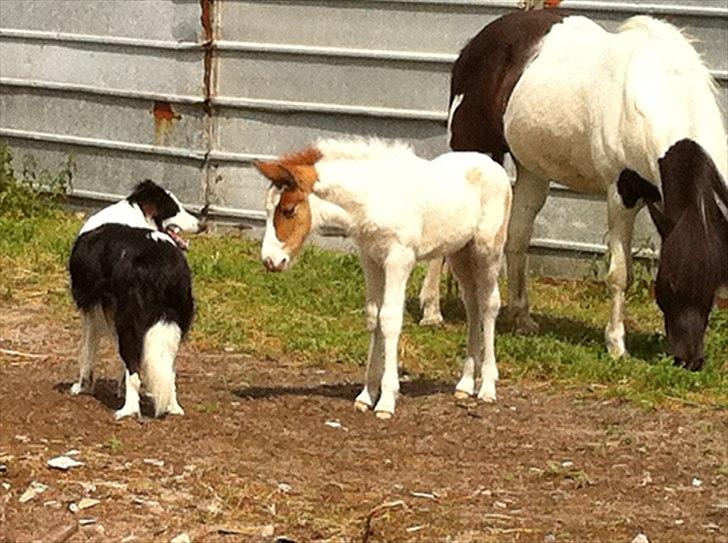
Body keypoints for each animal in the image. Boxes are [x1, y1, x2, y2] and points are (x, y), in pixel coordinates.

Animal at [69, 181, 203, 418]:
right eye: (175, 209)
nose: (202, 226)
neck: (135, 212)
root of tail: (161, 263)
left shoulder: (92, 308)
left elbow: (88, 350)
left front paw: (82, 386)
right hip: (175, 319)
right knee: (168, 370)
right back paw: (173, 407)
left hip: (128, 320)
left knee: (134, 371)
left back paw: (128, 410)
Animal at [255, 138, 512, 418]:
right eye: (267, 210)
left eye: (289, 210)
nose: (270, 261)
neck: (373, 197)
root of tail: (493, 166)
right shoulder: (371, 260)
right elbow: (373, 316)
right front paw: (366, 395)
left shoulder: (399, 259)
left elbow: (389, 319)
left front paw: (387, 400)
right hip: (459, 254)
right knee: (472, 306)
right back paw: (465, 384)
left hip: (487, 250)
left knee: (489, 305)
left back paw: (487, 387)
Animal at [420, 10, 728, 372]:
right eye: (672, 282)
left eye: (714, 283)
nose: (690, 360)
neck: (658, 91)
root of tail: (474, 45)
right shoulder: (620, 196)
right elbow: (620, 274)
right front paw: (616, 345)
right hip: (475, 151)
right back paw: (431, 312)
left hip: (532, 171)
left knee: (517, 237)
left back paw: (521, 318)